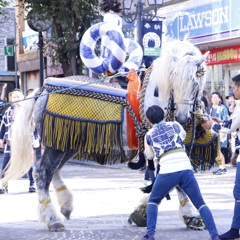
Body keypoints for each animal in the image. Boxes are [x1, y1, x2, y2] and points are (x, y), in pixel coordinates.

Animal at [1, 40, 209, 232]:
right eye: (175, 77)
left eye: (195, 82)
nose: (182, 117)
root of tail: (43, 90)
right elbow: (175, 179)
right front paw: (190, 215)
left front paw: (141, 212)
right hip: (56, 145)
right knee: (43, 172)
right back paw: (52, 219)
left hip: (68, 142)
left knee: (54, 171)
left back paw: (65, 205)